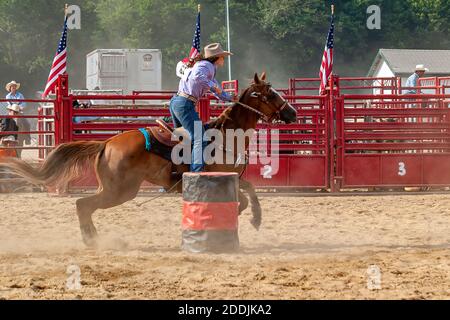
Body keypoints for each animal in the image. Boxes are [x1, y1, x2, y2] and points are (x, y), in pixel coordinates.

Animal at [0, 73, 298, 248]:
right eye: (270, 94)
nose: (293, 113)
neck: (226, 135)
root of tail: (106, 143)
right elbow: (244, 198)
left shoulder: (236, 177)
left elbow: (251, 192)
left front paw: (254, 219)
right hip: (121, 191)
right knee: (82, 204)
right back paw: (92, 240)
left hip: (113, 188)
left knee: (84, 205)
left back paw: (93, 238)